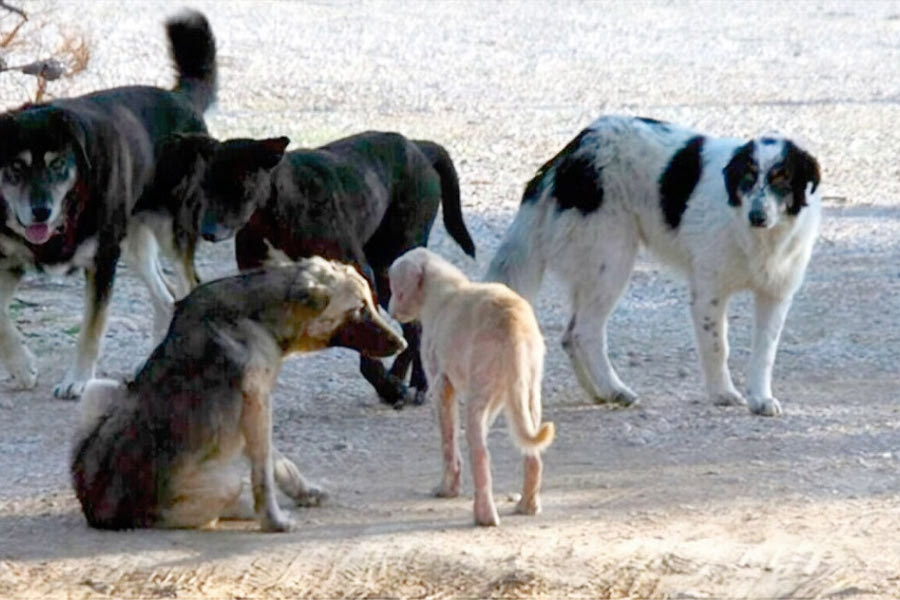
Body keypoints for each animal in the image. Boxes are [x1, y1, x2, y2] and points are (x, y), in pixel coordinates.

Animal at [0, 10, 217, 398]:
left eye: (58, 164)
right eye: (16, 167)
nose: (40, 211)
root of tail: (180, 98)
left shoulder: (101, 261)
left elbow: (91, 329)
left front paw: (77, 380)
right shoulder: (10, 258)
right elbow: (0, 320)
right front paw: (21, 367)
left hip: (170, 234)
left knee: (189, 287)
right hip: (132, 242)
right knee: (166, 299)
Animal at [69, 256, 404, 528]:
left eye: (371, 303)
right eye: (359, 310)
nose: (402, 344)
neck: (259, 315)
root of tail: (98, 512)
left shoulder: (255, 411)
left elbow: (279, 463)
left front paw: (304, 492)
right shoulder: (257, 405)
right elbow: (263, 474)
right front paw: (274, 521)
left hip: (100, 390)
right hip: (222, 482)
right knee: (216, 506)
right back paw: (243, 509)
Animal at [134, 128, 478, 406]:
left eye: (240, 188)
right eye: (205, 187)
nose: (207, 231)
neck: (276, 210)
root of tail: (419, 147)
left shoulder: (359, 274)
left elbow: (368, 345)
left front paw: (388, 385)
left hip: (389, 265)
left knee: (415, 325)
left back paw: (417, 383)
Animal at [388, 247, 556, 524]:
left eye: (393, 286)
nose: (391, 311)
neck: (441, 286)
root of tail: (514, 324)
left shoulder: (441, 385)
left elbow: (448, 442)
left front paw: (447, 489)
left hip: (479, 395)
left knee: (481, 454)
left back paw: (484, 516)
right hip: (528, 393)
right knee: (532, 454)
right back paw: (527, 506)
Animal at [486, 117, 824, 418]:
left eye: (782, 178)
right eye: (748, 178)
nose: (757, 216)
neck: (759, 237)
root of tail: (571, 152)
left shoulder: (775, 295)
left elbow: (765, 353)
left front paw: (760, 399)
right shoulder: (709, 293)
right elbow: (717, 346)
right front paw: (723, 394)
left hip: (595, 267)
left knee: (569, 336)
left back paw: (598, 392)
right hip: (612, 259)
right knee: (585, 332)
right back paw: (614, 389)